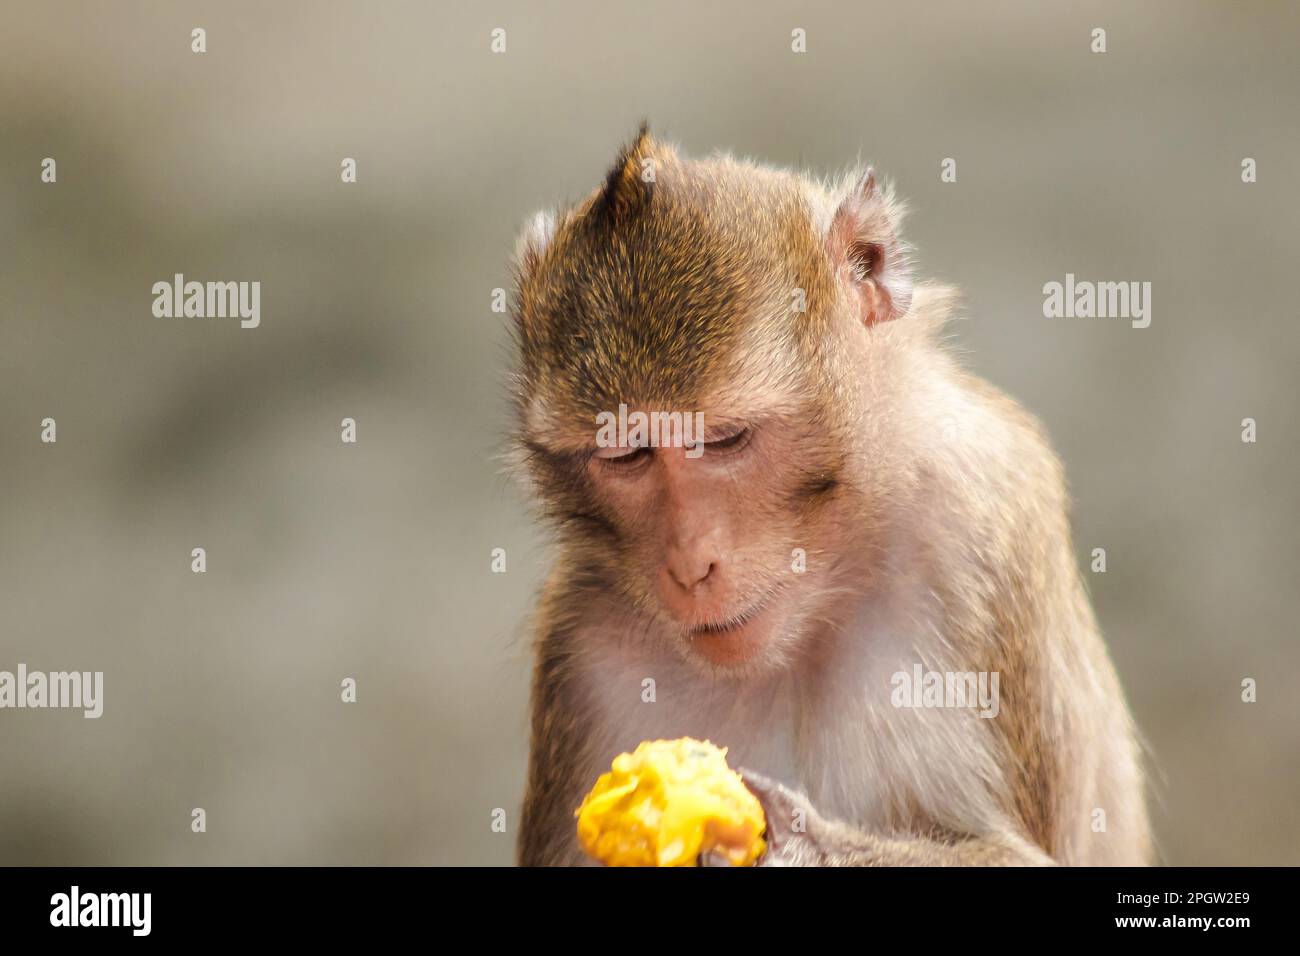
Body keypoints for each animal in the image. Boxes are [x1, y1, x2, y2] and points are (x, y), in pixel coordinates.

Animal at [506, 127, 1149, 868]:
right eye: (627, 455)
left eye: (723, 439)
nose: (691, 564)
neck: (819, 608)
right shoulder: (579, 641)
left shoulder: (985, 520)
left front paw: (796, 844)